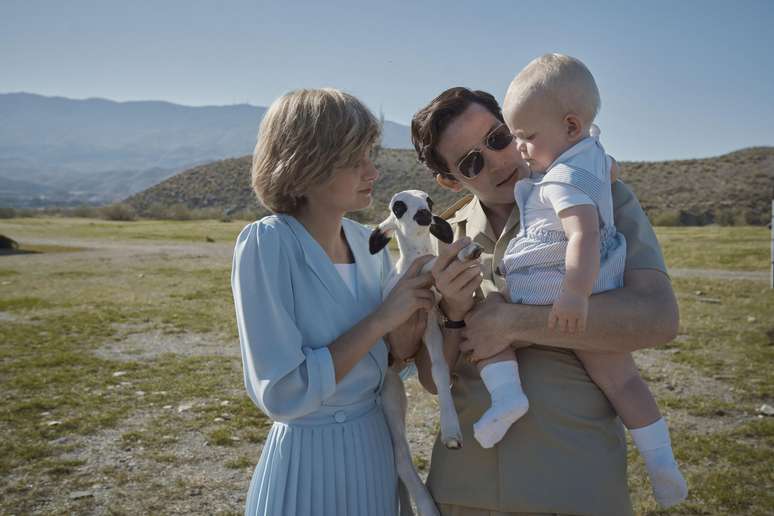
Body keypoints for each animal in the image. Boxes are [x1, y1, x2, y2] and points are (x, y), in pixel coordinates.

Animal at [372, 189, 484, 516]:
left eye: (429, 201)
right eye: (398, 206)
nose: (422, 213)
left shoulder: (431, 328)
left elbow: (439, 369)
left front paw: (450, 431)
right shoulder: (402, 297)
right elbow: (429, 265)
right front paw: (460, 254)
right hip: (390, 394)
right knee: (400, 458)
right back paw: (427, 506)